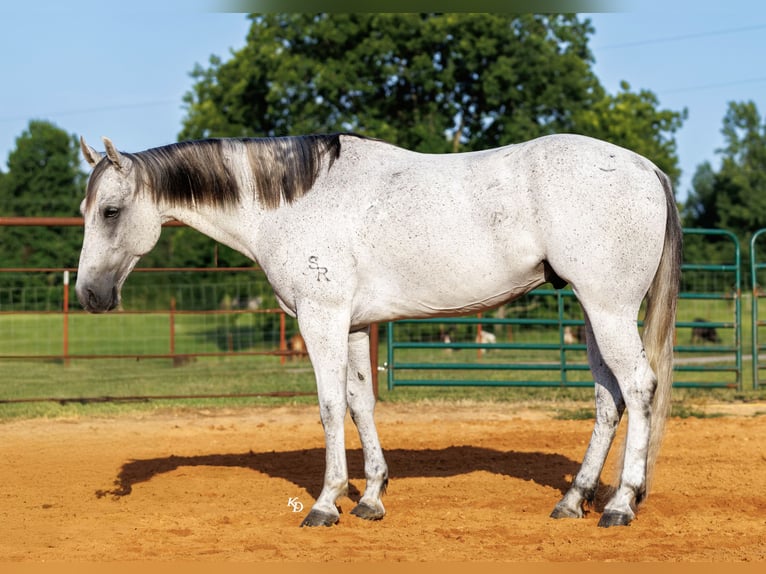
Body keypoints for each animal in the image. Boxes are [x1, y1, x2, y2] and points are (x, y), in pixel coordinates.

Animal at [76, 132, 681, 528]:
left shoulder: (321, 316)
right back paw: (574, 500)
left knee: (638, 388)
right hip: (592, 311)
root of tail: (645, 169)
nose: (89, 296)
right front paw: (370, 497)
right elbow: (360, 403)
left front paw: (326, 504)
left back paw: (619, 505)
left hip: (607, 308)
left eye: (110, 211)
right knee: (608, 398)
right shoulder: (352, 325)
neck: (293, 201)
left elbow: (327, 406)